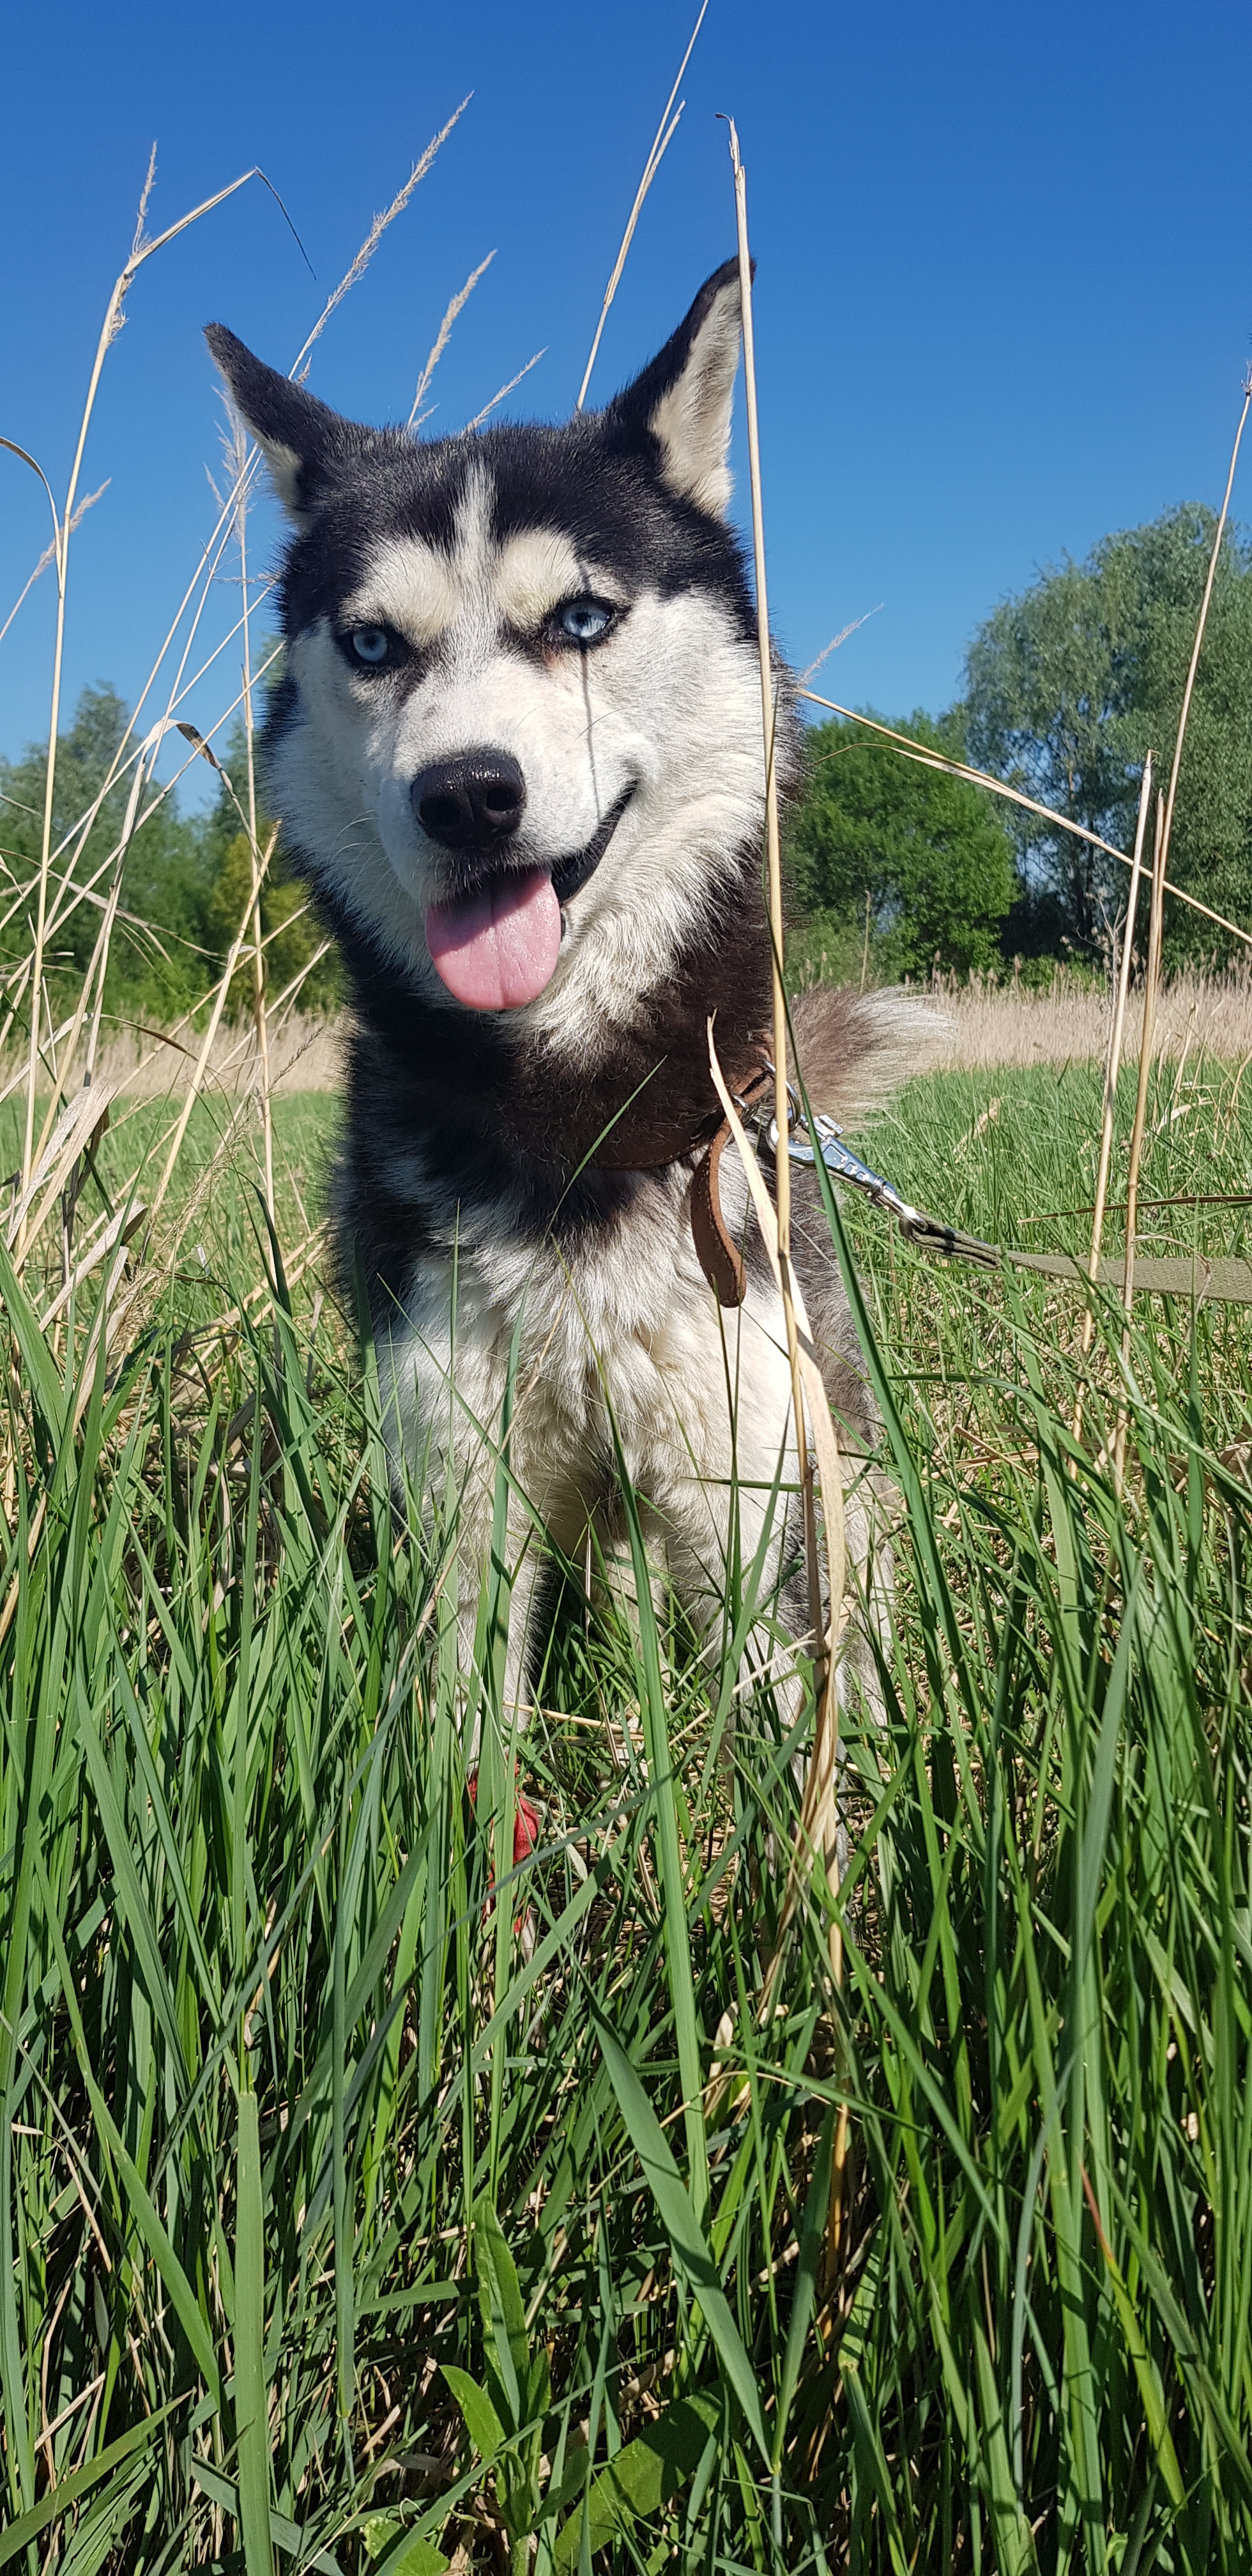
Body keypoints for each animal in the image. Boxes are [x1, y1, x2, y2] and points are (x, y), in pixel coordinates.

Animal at [207, 272, 912, 1761]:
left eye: (580, 618)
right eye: (373, 643)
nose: (467, 794)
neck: (581, 1117)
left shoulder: (742, 1486)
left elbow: (787, 1733)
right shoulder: (459, 1490)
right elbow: (464, 1749)